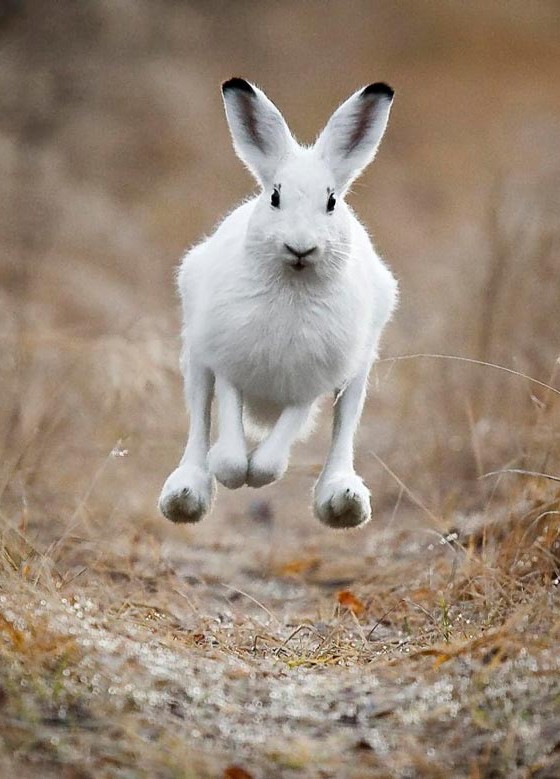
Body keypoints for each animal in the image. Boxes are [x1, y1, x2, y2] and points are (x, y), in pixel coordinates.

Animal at [158, 77, 398, 529]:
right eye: (274, 198)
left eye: (331, 202)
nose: (300, 247)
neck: (293, 286)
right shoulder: (229, 364)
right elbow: (229, 442)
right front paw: (232, 471)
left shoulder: (311, 383)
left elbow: (276, 452)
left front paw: (258, 475)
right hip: (195, 354)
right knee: (198, 420)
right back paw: (186, 493)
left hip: (359, 370)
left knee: (344, 431)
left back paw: (343, 499)